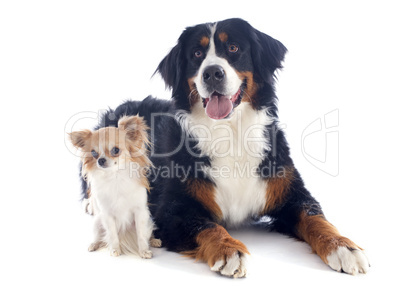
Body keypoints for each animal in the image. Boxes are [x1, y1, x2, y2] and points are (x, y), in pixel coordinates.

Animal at [69, 115, 159, 258]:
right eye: (93, 153)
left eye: (115, 150)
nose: (100, 160)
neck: (115, 177)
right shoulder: (107, 215)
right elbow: (112, 234)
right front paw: (115, 249)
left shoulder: (140, 212)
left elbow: (141, 234)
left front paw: (144, 251)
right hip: (97, 222)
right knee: (99, 237)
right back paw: (93, 244)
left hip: (148, 219)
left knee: (147, 233)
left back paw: (154, 241)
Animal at [82, 17, 370, 278]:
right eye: (197, 54)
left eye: (233, 48)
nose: (212, 73)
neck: (231, 132)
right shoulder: (172, 210)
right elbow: (207, 226)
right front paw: (229, 250)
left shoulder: (291, 192)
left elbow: (315, 218)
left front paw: (343, 247)